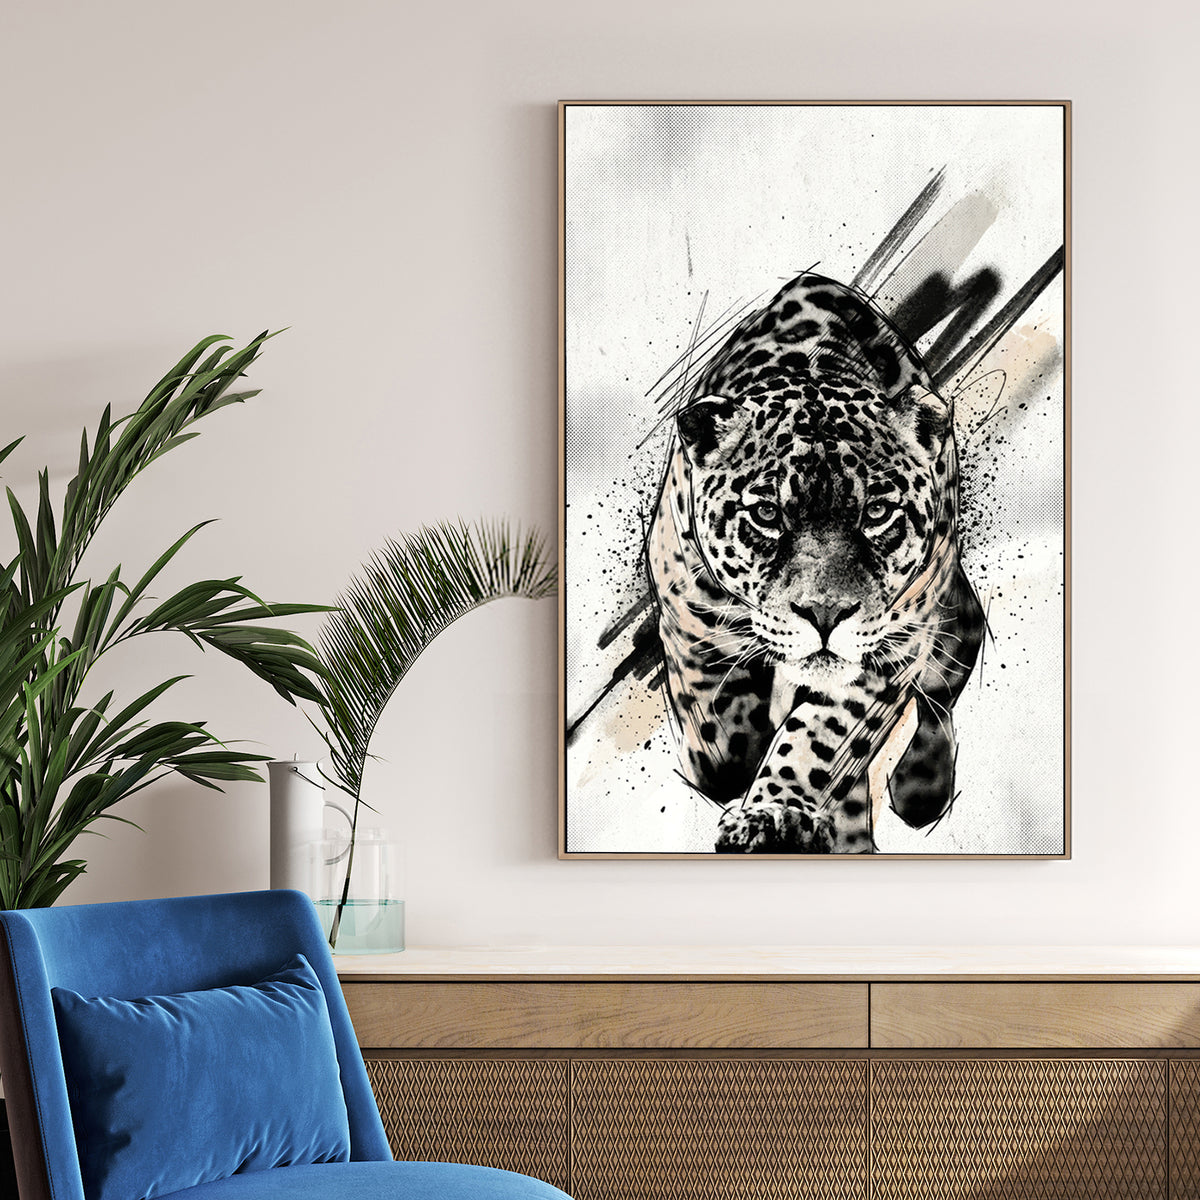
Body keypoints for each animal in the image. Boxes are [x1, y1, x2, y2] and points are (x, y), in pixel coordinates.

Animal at [645, 271, 985, 853]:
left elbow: (817, 738)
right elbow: (721, 746)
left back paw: (920, 787)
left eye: (877, 512)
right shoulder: (687, 619)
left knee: (952, 663)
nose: (825, 616)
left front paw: (773, 812)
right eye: (766, 513)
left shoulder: (887, 654)